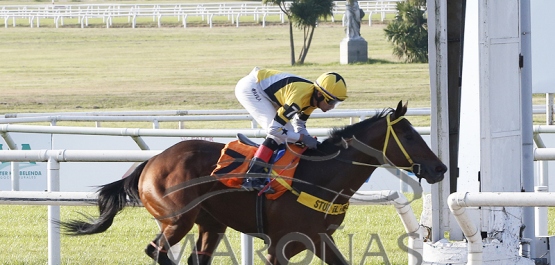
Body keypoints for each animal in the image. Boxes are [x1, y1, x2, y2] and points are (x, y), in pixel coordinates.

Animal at [59, 100, 448, 262]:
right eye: (409, 136)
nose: (440, 168)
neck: (320, 178)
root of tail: (151, 161)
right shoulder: (281, 246)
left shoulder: (319, 239)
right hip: (177, 218)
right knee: (157, 251)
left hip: (210, 224)